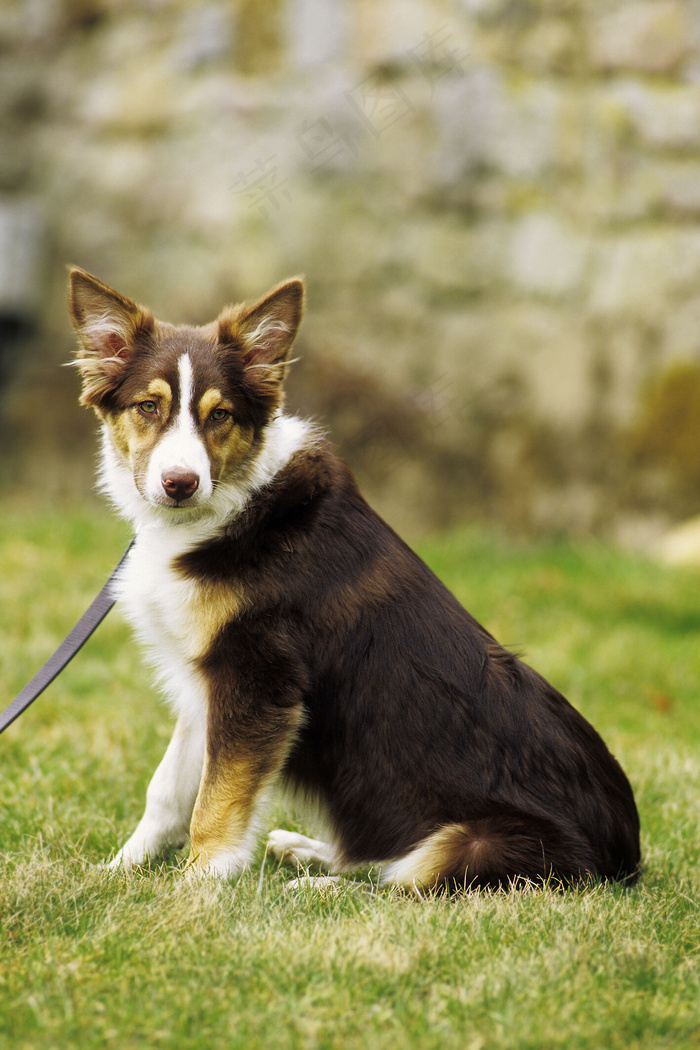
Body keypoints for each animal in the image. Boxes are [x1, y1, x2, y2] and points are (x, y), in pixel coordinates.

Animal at [69, 266, 642, 890]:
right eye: (149, 406)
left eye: (220, 415)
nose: (180, 484)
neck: (232, 505)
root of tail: (626, 859)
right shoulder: (210, 683)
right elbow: (170, 791)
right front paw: (118, 871)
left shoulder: (258, 678)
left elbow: (217, 800)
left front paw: (199, 884)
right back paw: (306, 852)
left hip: (483, 842)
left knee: (410, 886)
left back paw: (315, 887)